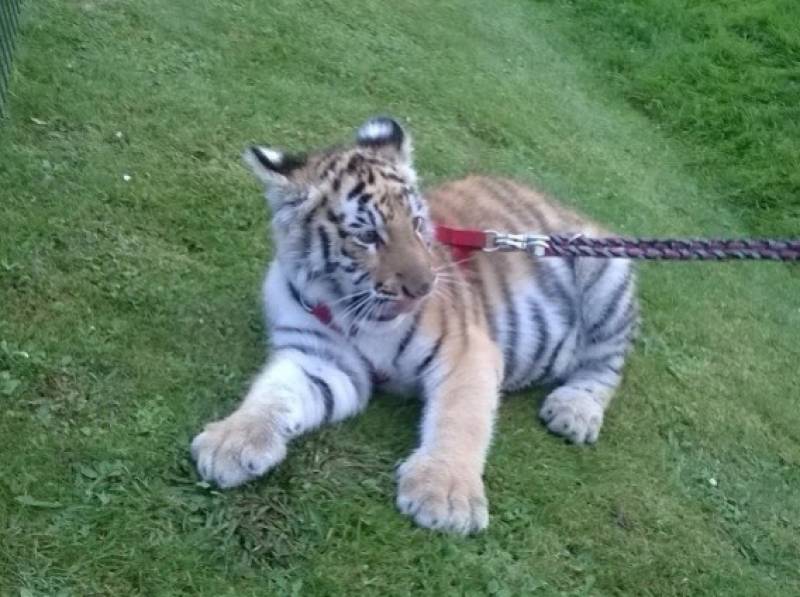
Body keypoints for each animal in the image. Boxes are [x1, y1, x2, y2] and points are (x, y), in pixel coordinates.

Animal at [191, 117, 639, 534]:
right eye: (368, 236)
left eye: (418, 224)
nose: (423, 287)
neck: (352, 311)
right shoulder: (320, 359)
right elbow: (274, 394)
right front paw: (232, 440)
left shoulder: (467, 350)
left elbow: (462, 417)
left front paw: (445, 495)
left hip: (605, 279)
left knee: (607, 365)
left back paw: (574, 411)